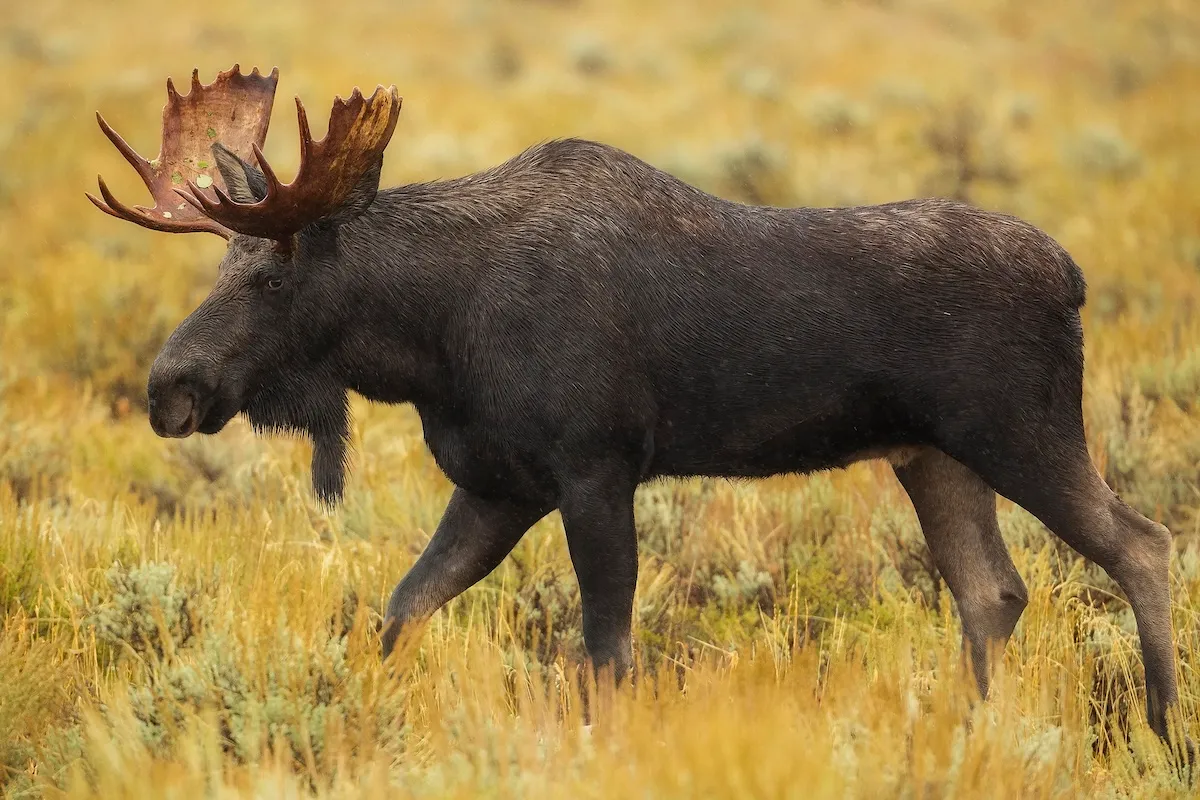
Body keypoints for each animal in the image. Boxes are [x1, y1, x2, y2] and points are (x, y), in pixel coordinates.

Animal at [88, 64, 1191, 762]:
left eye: (272, 273)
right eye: (220, 264)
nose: (169, 387)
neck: (432, 337)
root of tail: (1073, 277)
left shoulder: (594, 466)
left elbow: (605, 654)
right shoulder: (498, 485)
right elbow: (400, 613)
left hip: (1021, 428)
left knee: (1142, 540)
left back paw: (1161, 728)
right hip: (932, 454)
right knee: (992, 590)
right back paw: (978, 736)